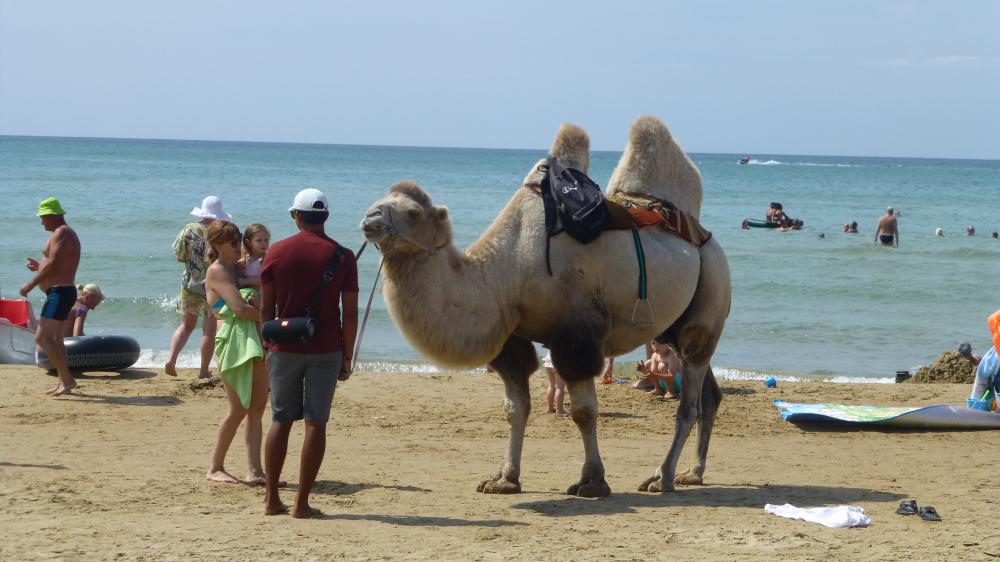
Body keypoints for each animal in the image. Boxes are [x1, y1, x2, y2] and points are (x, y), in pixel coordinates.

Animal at [360, 115, 731, 496]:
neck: (506, 270)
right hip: (673, 328)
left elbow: (583, 412)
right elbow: (514, 408)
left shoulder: (576, 335)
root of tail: (707, 240)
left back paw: (664, 477)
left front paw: (592, 481)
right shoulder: (513, 337)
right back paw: (691, 473)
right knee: (709, 396)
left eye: (412, 212)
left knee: (689, 401)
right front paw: (504, 478)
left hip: (710, 300)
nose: (370, 221)